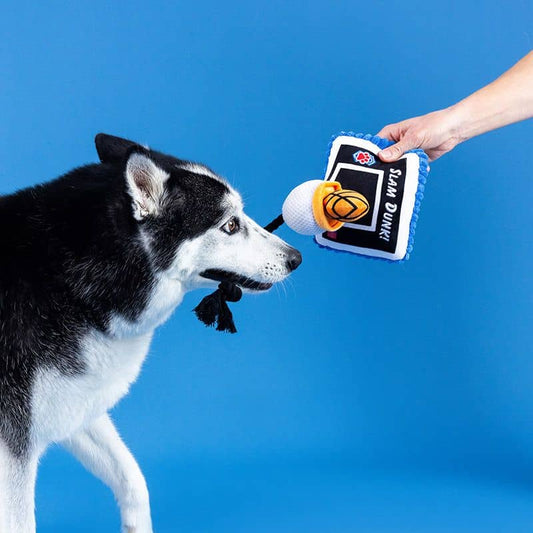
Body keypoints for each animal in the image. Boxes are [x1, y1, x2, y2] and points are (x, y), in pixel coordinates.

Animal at [0, 134, 300, 532]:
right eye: (230, 225)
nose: (296, 258)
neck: (62, 279)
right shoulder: (14, 443)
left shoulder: (73, 405)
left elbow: (132, 478)